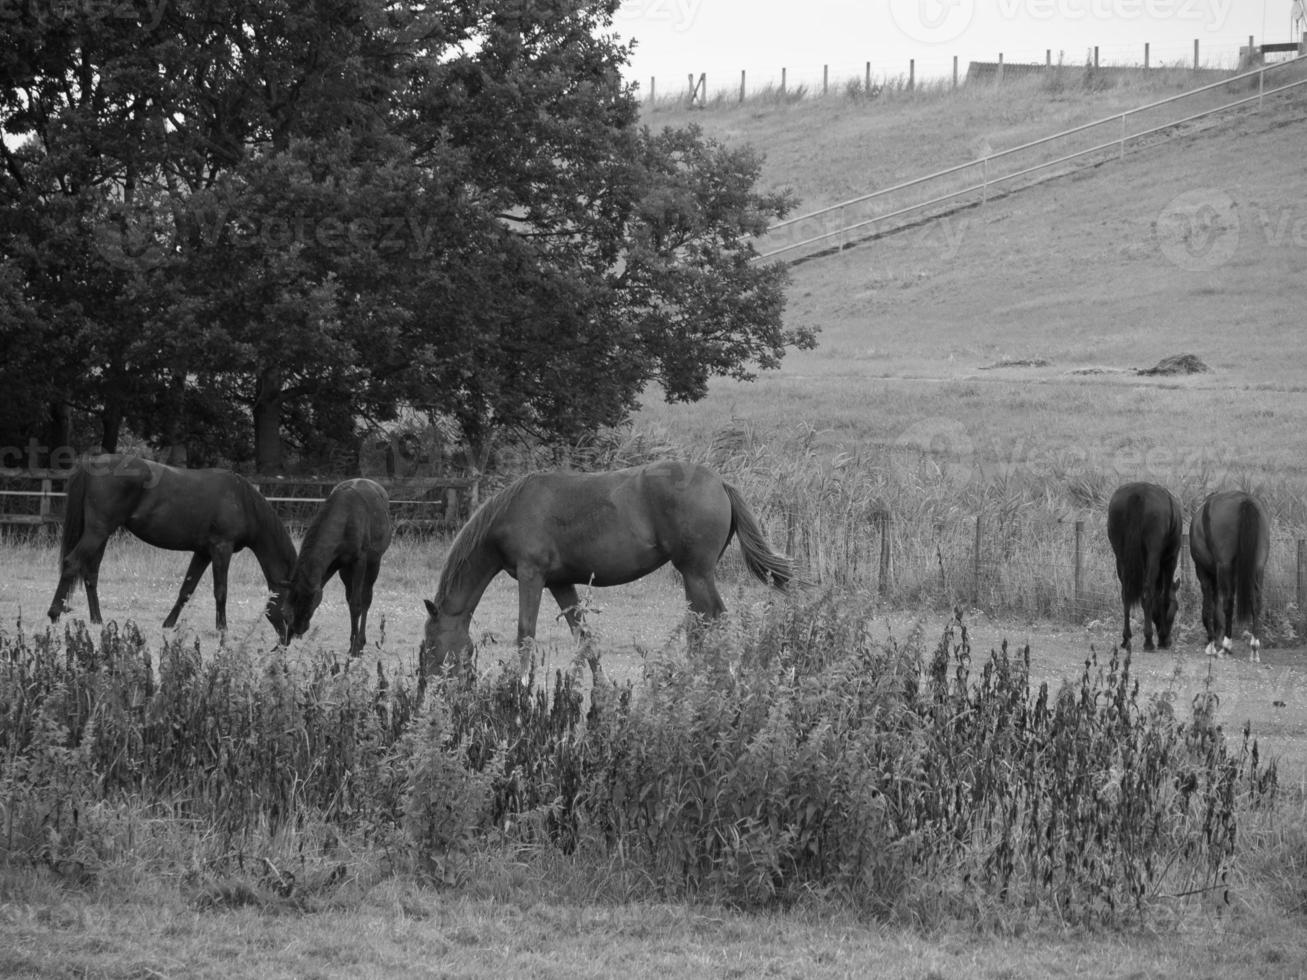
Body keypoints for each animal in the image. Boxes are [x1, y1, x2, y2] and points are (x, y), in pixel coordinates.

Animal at [47, 454, 296, 632]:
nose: (288, 638)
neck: (242, 501)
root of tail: (93, 462)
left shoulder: (203, 553)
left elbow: (186, 589)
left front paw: (168, 623)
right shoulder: (221, 549)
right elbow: (221, 590)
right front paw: (222, 628)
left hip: (101, 535)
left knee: (90, 573)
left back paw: (97, 620)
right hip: (97, 533)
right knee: (71, 563)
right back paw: (54, 613)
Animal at [277, 480, 389, 655]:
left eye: (309, 609)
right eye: (284, 612)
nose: (298, 628)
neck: (345, 520)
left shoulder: (360, 559)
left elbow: (356, 604)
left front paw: (354, 649)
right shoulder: (333, 564)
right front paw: (281, 647)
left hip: (374, 562)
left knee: (366, 598)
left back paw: (360, 643)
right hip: (345, 570)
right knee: (350, 595)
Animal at [423, 465, 789, 679]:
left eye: (430, 644)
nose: (431, 684)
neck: (511, 511)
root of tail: (720, 482)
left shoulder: (532, 576)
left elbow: (525, 633)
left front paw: (520, 692)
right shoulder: (560, 584)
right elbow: (584, 637)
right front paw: (599, 691)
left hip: (696, 573)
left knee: (713, 619)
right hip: (693, 576)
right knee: (700, 624)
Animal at [1103, 480, 1186, 653]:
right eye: (1176, 608)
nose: (1168, 638)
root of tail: (1138, 494)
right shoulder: (1170, 560)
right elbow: (1163, 596)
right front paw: (1162, 638)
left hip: (1120, 557)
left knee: (1125, 595)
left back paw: (1126, 639)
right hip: (1154, 554)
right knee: (1147, 592)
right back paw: (1149, 641)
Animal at [1191, 493, 1270, 663]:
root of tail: (1245, 500)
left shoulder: (1203, 572)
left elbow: (1209, 607)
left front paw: (1212, 644)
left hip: (1224, 567)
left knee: (1227, 603)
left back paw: (1226, 646)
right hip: (1258, 567)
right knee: (1256, 602)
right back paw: (1254, 648)